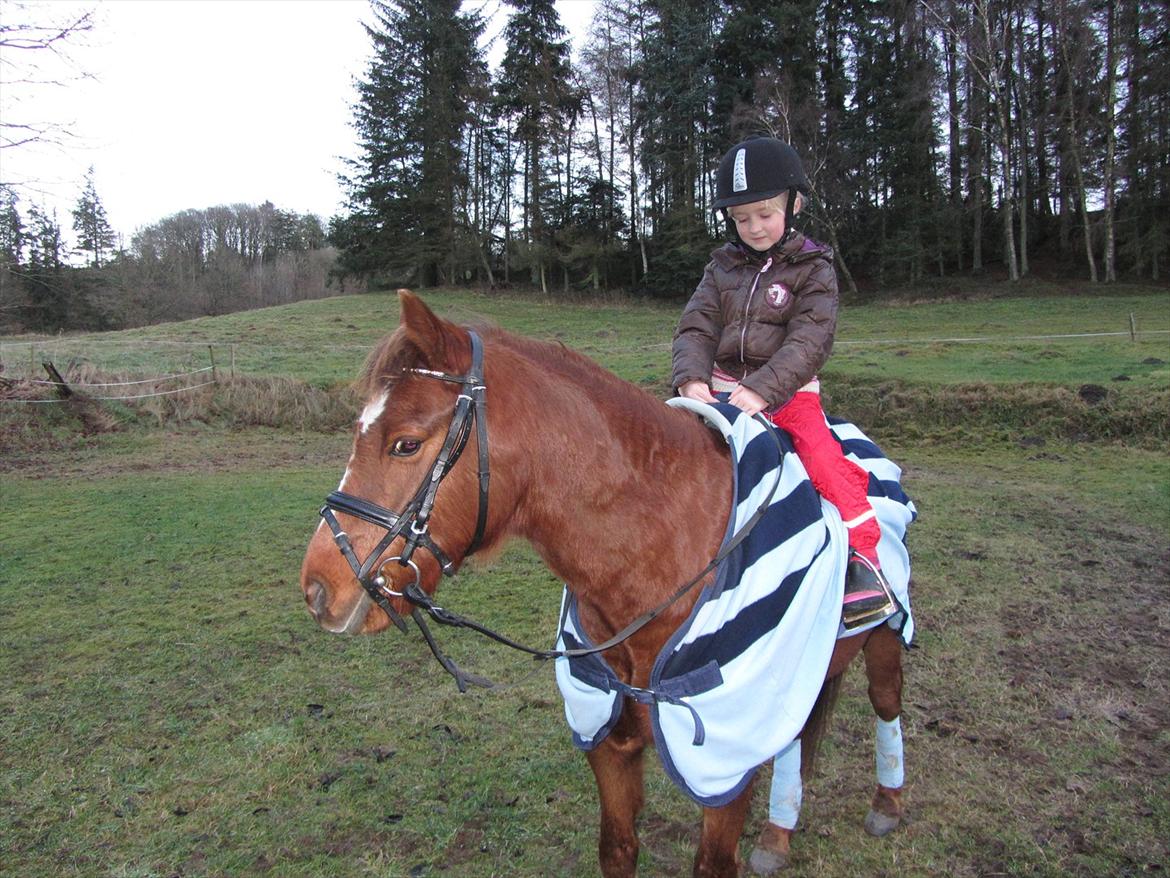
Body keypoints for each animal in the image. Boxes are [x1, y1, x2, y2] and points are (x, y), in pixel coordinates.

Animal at [299, 291, 908, 877]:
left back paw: (886, 806)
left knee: (885, 704)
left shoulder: (726, 760)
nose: (318, 590)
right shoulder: (609, 742)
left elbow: (713, 861)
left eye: (405, 444)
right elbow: (617, 849)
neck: (657, 557)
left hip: (884, 640)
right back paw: (777, 835)